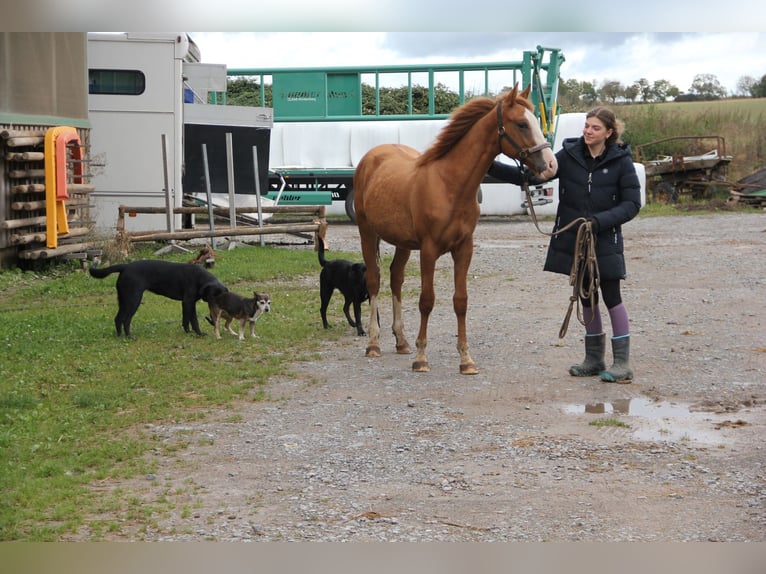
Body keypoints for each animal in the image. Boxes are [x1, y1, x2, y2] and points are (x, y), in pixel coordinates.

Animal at [90, 260, 228, 338]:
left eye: (220, 299)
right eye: (211, 296)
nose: (215, 309)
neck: (200, 279)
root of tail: (126, 266)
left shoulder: (188, 303)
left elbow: (186, 320)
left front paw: (189, 333)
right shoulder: (188, 301)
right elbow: (193, 320)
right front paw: (198, 334)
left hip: (123, 300)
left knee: (118, 319)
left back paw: (119, 337)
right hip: (133, 299)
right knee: (126, 320)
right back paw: (129, 336)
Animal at [354, 83, 560, 376]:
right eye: (522, 124)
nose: (551, 165)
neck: (449, 185)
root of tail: (370, 158)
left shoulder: (464, 248)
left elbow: (460, 301)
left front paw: (466, 360)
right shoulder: (429, 250)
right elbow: (427, 301)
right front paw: (421, 358)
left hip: (403, 242)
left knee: (396, 278)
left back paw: (402, 340)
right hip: (367, 232)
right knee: (374, 279)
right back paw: (374, 343)